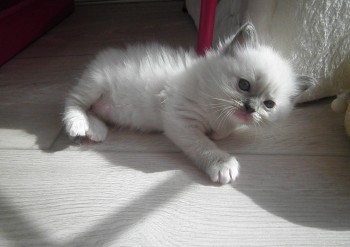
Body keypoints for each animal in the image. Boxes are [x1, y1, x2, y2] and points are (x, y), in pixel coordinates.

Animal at [62, 23, 312, 183]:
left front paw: (217, 134)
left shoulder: (222, 124)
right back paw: (78, 126)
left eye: (269, 105)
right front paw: (222, 164)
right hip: (95, 84)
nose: (250, 108)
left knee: (93, 110)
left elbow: (222, 133)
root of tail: (102, 56)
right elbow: (203, 145)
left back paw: (95, 130)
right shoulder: (180, 119)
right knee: (73, 102)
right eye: (243, 85)